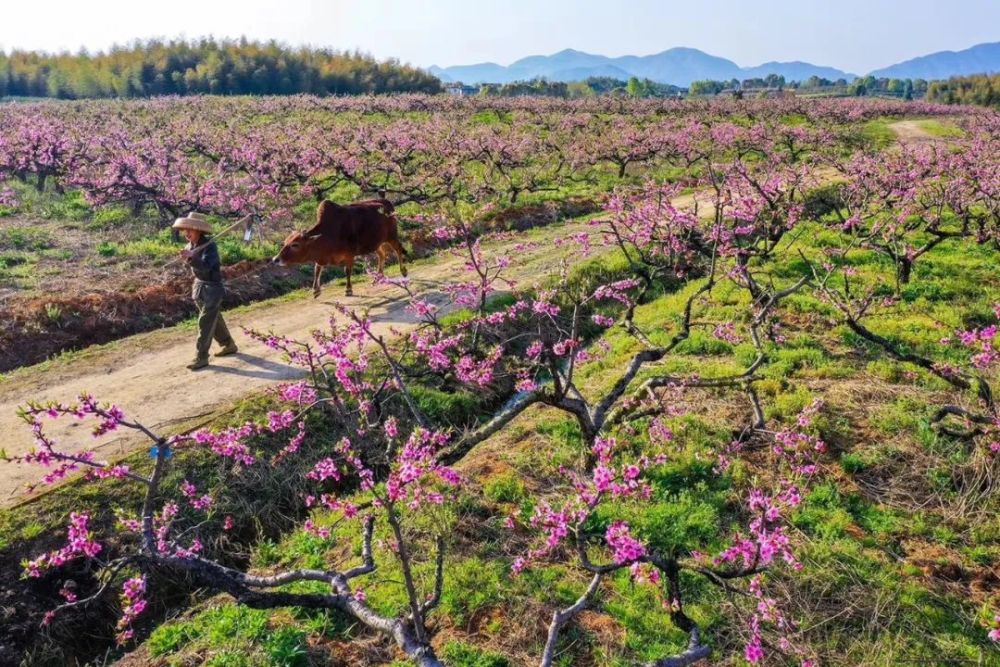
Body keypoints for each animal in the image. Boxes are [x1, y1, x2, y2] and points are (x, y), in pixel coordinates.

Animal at [272, 198, 408, 298]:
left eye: (295, 244)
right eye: (285, 242)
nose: (275, 259)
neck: (329, 233)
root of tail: (386, 201)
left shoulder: (349, 255)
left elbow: (347, 271)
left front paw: (348, 290)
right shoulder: (321, 258)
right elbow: (317, 270)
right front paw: (316, 291)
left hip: (391, 237)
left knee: (398, 249)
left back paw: (403, 271)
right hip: (377, 243)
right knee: (382, 255)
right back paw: (377, 278)